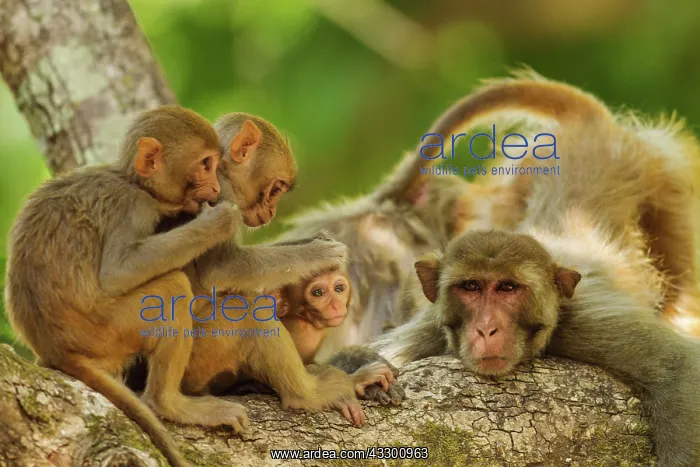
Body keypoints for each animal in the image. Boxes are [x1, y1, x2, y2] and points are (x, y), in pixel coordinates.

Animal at [4, 105, 250, 467]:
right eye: (206, 164)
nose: (215, 186)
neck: (132, 182)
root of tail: (54, 348)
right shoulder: (133, 207)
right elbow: (117, 272)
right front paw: (217, 222)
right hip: (109, 330)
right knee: (173, 287)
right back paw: (168, 403)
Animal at [368, 74, 700, 465]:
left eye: (508, 288)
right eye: (470, 287)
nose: (486, 328)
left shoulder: (588, 322)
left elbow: (680, 370)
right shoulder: (427, 334)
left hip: (658, 178)